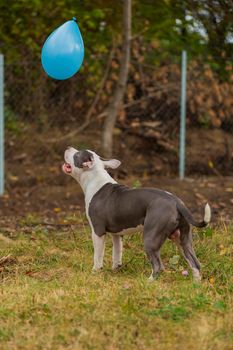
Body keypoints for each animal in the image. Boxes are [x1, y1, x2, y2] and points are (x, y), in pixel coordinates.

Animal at [62, 147, 211, 282]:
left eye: (76, 155)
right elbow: (117, 253)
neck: (94, 178)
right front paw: (115, 270)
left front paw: (95, 272)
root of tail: (176, 202)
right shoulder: (117, 234)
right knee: (195, 263)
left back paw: (149, 281)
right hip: (182, 239)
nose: (68, 147)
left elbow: (98, 255)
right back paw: (196, 284)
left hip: (150, 238)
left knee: (158, 265)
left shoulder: (98, 232)